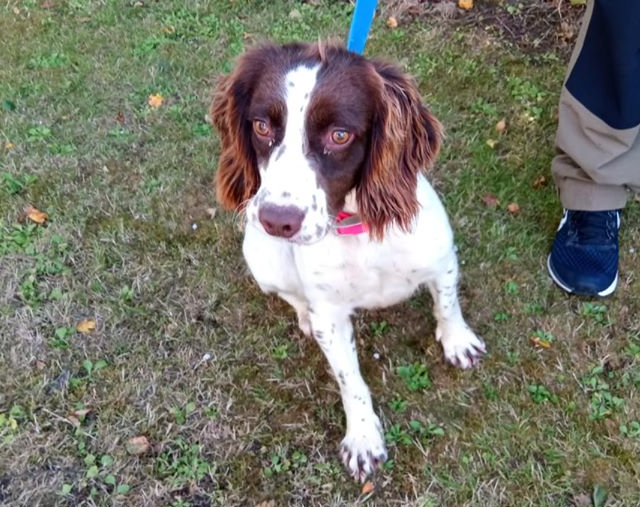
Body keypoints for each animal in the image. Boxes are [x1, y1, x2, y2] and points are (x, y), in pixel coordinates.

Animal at [211, 41, 484, 482]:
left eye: (339, 135)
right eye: (262, 127)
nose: (276, 220)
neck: (360, 230)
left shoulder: (442, 260)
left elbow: (447, 304)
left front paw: (457, 340)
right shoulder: (331, 316)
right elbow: (349, 379)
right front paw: (363, 438)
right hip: (261, 259)